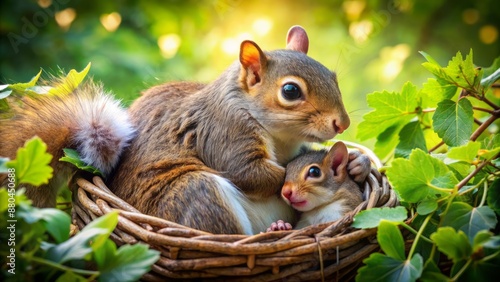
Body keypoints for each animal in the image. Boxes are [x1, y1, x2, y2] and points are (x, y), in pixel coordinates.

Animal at [0, 25, 368, 234]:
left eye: (333, 76)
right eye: (291, 91)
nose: (343, 123)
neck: (281, 137)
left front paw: (357, 163)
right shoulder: (224, 133)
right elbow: (249, 173)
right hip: (195, 193)